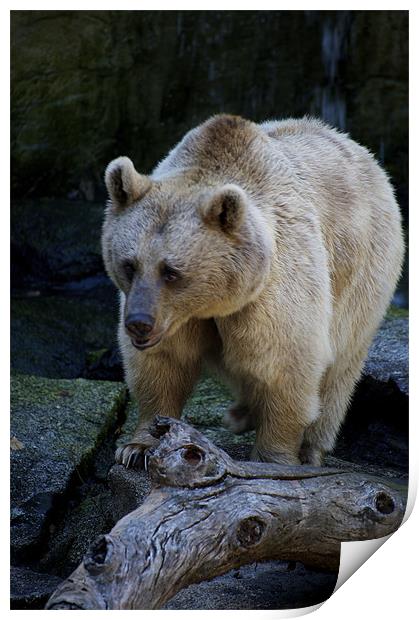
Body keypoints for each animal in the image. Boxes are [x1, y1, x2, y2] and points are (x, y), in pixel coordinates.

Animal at [101, 115, 404, 464]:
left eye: (172, 271)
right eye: (129, 265)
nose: (139, 323)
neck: (212, 302)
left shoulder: (273, 292)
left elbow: (283, 365)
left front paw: (273, 456)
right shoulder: (177, 320)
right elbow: (162, 365)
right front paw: (137, 447)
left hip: (363, 277)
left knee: (338, 370)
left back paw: (310, 447)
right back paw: (241, 413)